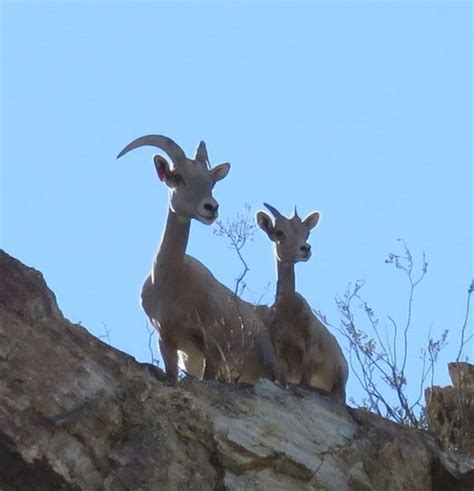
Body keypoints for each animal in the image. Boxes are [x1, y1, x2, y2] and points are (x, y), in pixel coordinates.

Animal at [256, 202, 348, 402]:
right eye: (279, 233)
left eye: (306, 233)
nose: (305, 249)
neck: (288, 311)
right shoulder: (278, 350)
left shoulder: (310, 346)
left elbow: (303, 383)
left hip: (339, 384)